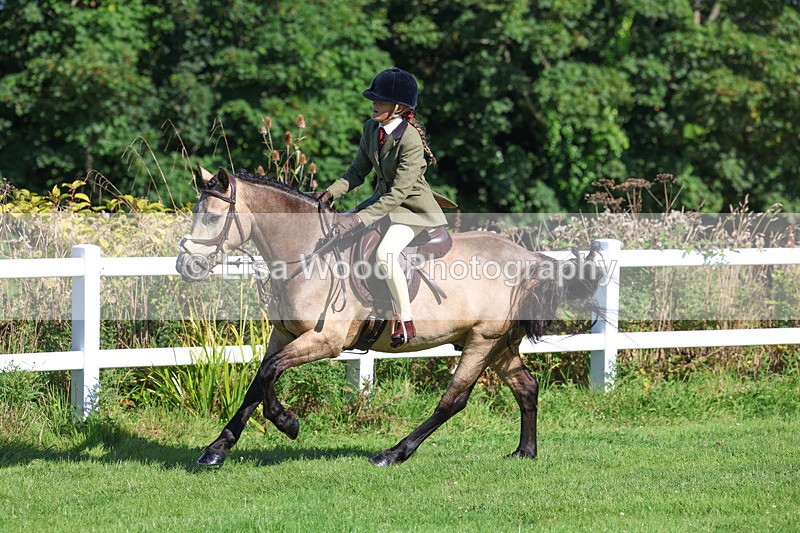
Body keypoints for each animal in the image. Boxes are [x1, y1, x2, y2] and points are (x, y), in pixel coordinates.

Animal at [176, 167, 603, 467]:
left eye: (211, 218)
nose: (186, 265)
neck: (309, 253)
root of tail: (527, 257)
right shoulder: (283, 336)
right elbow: (257, 383)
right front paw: (217, 449)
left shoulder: (324, 342)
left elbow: (268, 375)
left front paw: (287, 422)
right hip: (499, 343)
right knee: (526, 387)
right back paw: (524, 452)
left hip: (482, 342)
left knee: (454, 400)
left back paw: (393, 453)